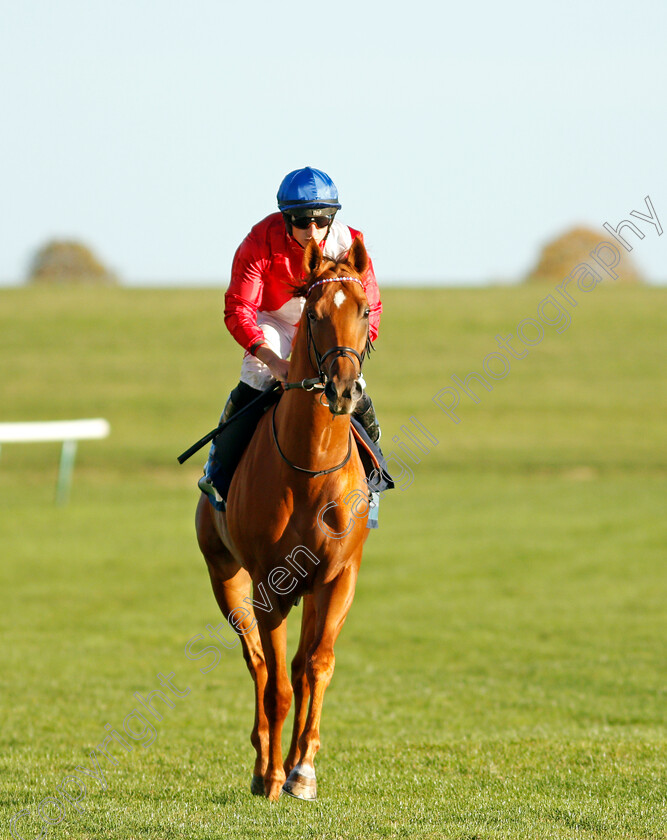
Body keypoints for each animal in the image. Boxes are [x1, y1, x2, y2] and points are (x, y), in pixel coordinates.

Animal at [196, 235, 378, 800]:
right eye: (315, 315)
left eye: (363, 310)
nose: (343, 389)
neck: (310, 466)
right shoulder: (268, 584)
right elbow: (275, 682)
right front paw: (275, 775)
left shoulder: (338, 577)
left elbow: (314, 667)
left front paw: (303, 771)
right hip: (226, 577)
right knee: (257, 662)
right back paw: (262, 766)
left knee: (296, 666)